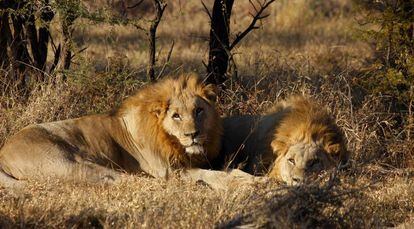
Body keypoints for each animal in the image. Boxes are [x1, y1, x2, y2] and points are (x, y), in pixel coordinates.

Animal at [0, 73, 254, 190]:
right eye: (176, 115)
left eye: (199, 111)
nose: (193, 134)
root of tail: (4, 151)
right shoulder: (170, 170)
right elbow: (215, 175)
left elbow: (229, 170)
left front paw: (253, 180)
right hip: (69, 163)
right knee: (122, 180)